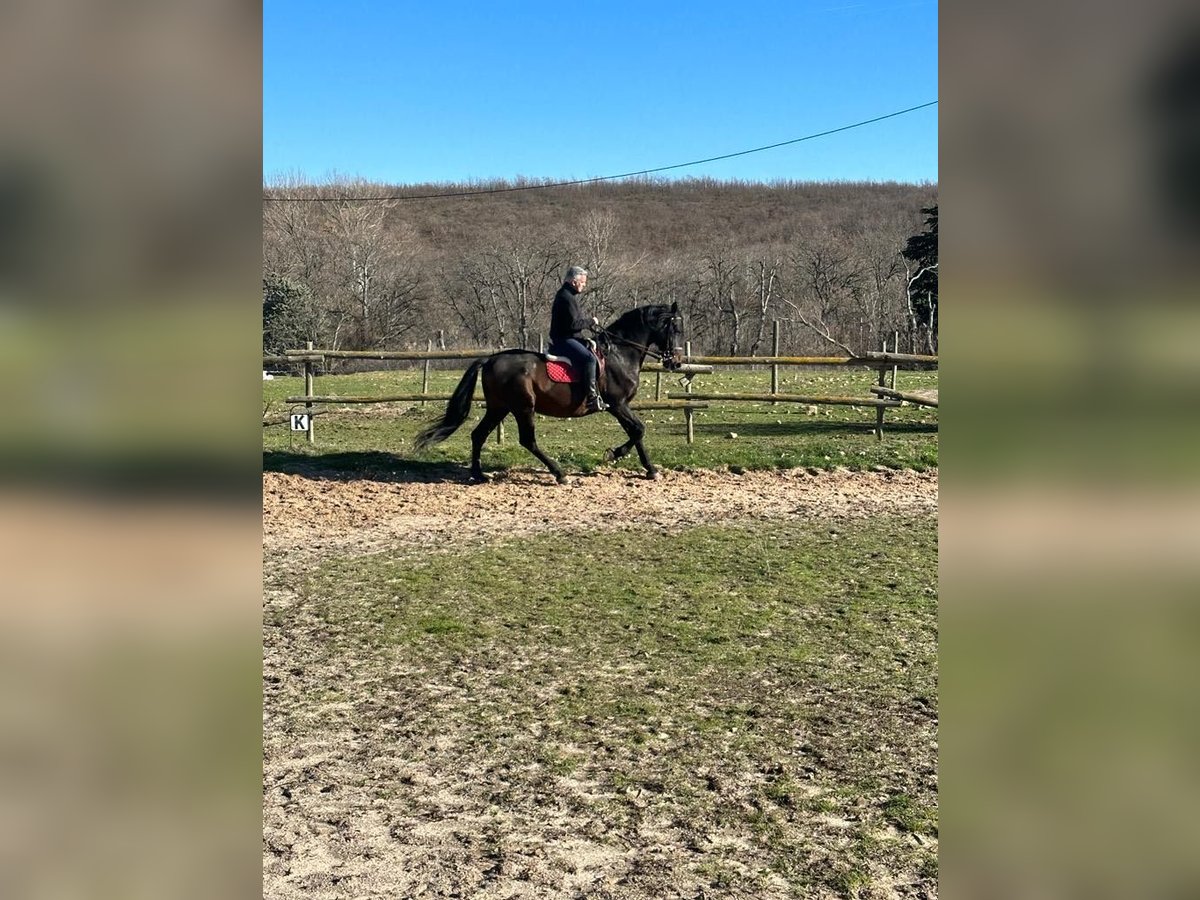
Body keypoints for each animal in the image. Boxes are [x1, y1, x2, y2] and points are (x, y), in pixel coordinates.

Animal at [412, 303, 681, 487]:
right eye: (675, 328)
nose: (676, 362)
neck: (620, 353)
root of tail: (490, 359)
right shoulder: (617, 404)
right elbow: (638, 430)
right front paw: (623, 458)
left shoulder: (620, 406)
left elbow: (635, 432)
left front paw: (644, 467)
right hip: (523, 407)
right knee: (527, 440)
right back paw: (559, 474)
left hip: (499, 407)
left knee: (478, 435)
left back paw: (478, 474)